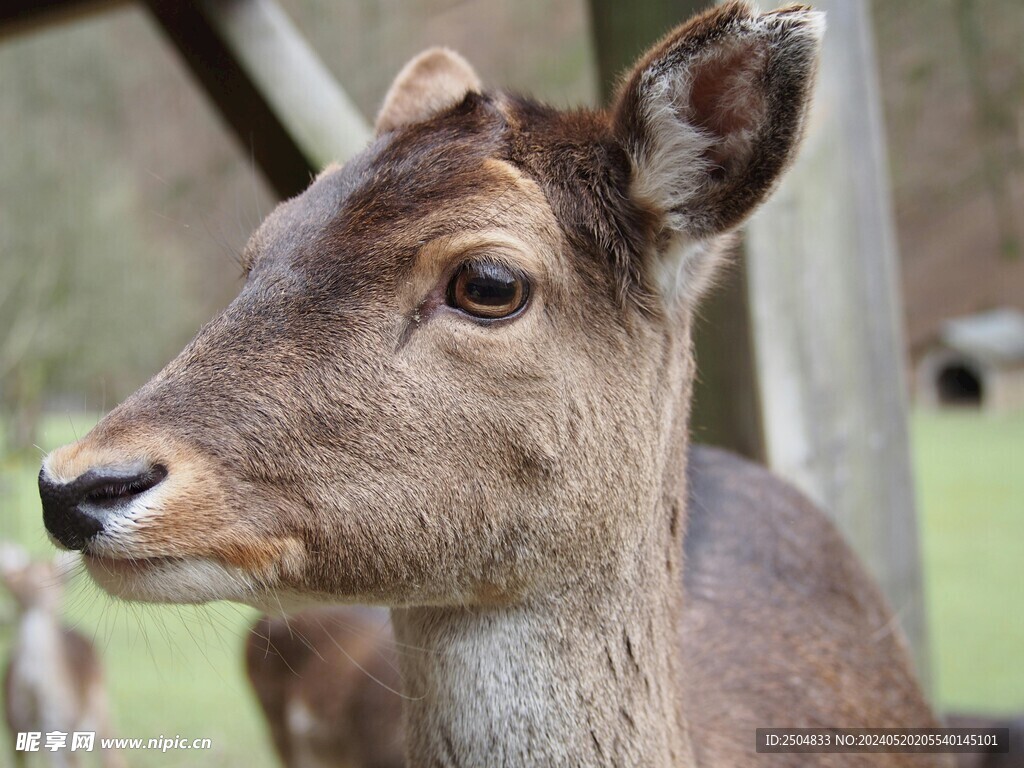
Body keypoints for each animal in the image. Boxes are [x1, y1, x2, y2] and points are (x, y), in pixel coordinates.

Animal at [0, 544, 123, 768]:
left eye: (52, 577)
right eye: (16, 578)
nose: (33, 588)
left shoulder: (65, 727)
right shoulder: (14, 727)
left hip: (98, 701)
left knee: (112, 752)